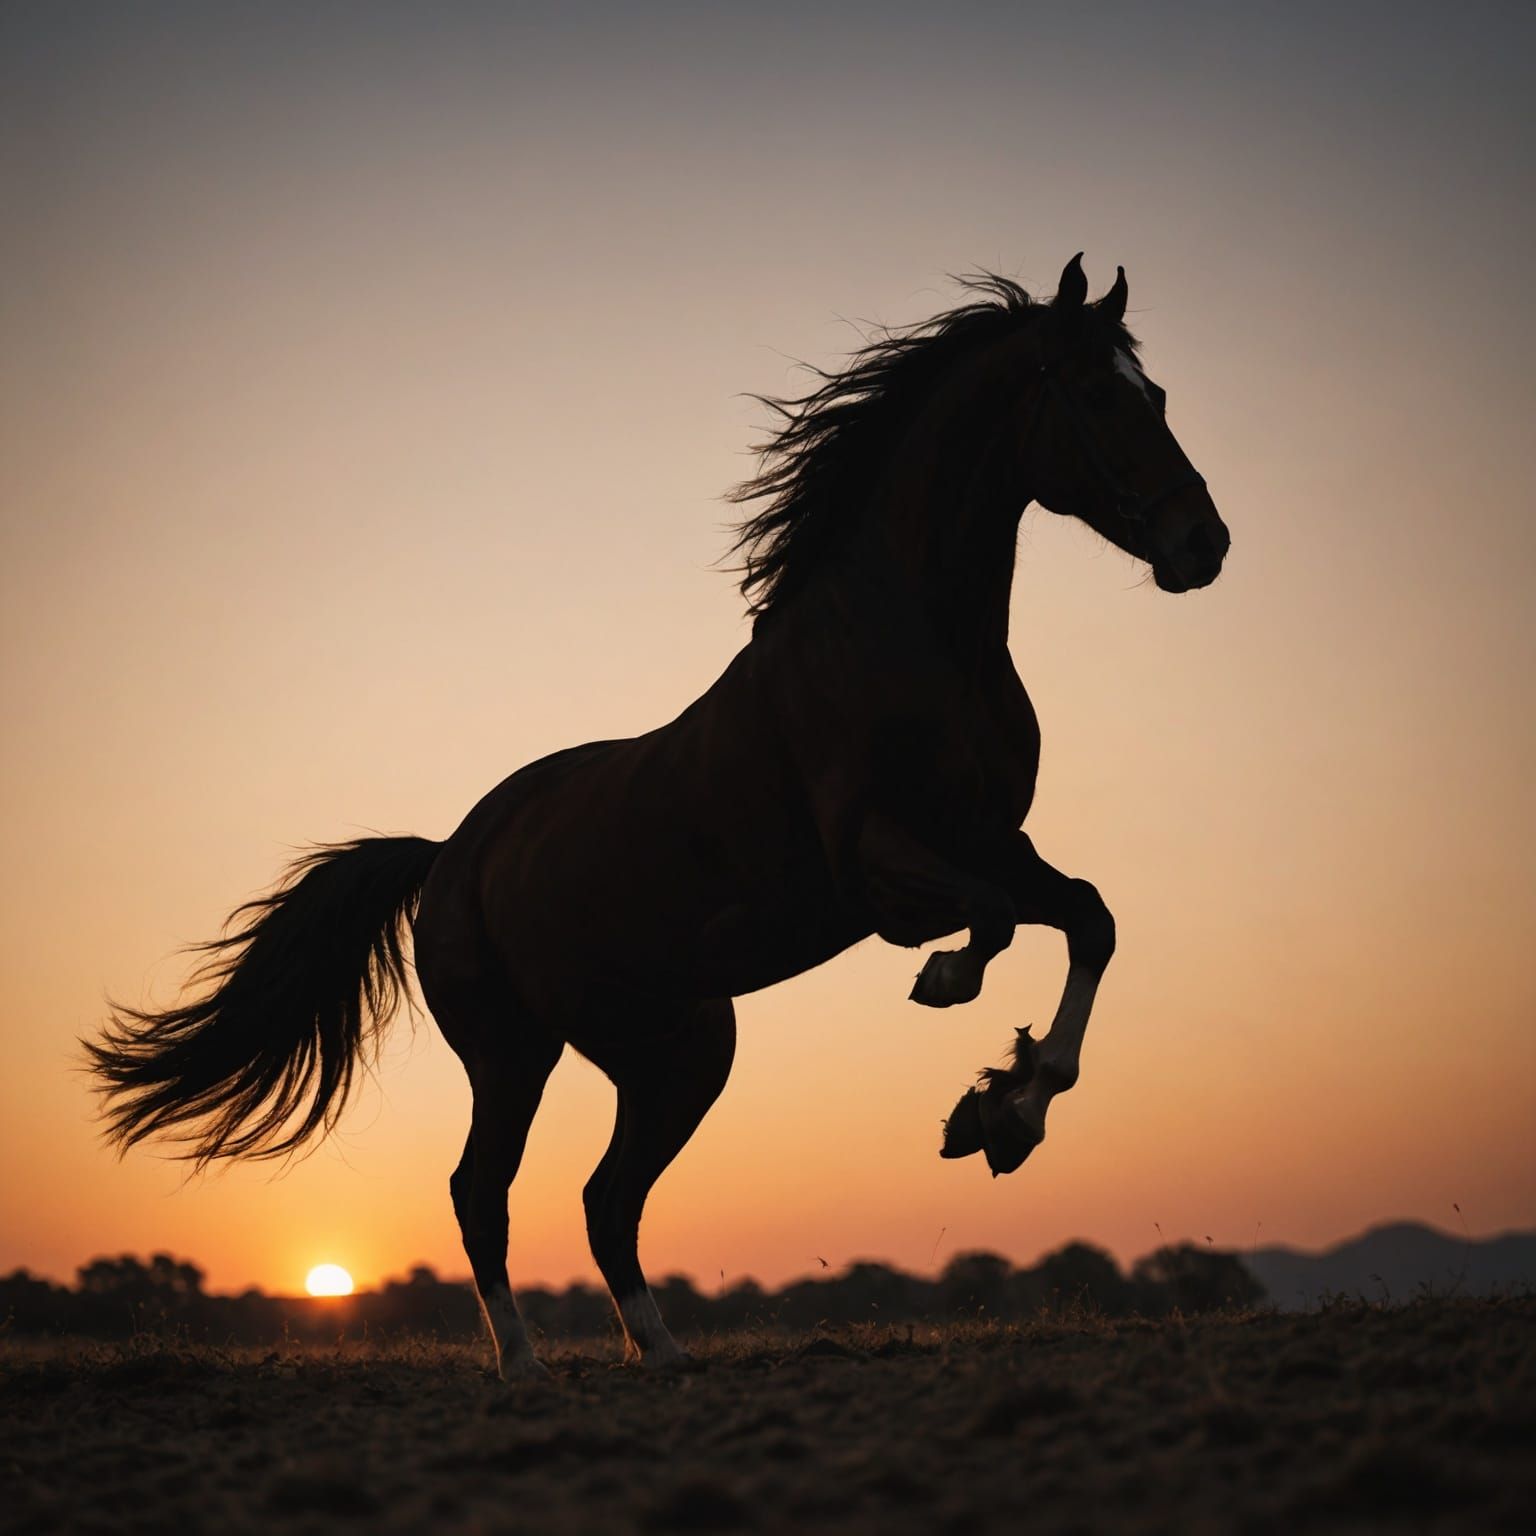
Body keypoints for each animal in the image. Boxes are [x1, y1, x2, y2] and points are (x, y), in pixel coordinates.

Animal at [87, 255, 1230, 1380]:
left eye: (1160, 395)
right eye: (1097, 397)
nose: (1204, 544)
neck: (909, 641)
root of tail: (451, 853)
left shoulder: (998, 841)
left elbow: (1087, 916)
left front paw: (1006, 1111)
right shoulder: (882, 866)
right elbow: (996, 923)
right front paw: (969, 1041)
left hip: (675, 1051)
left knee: (606, 1196)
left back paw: (663, 1350)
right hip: (514, 1053)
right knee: (483, 1189)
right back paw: (527, 1366)